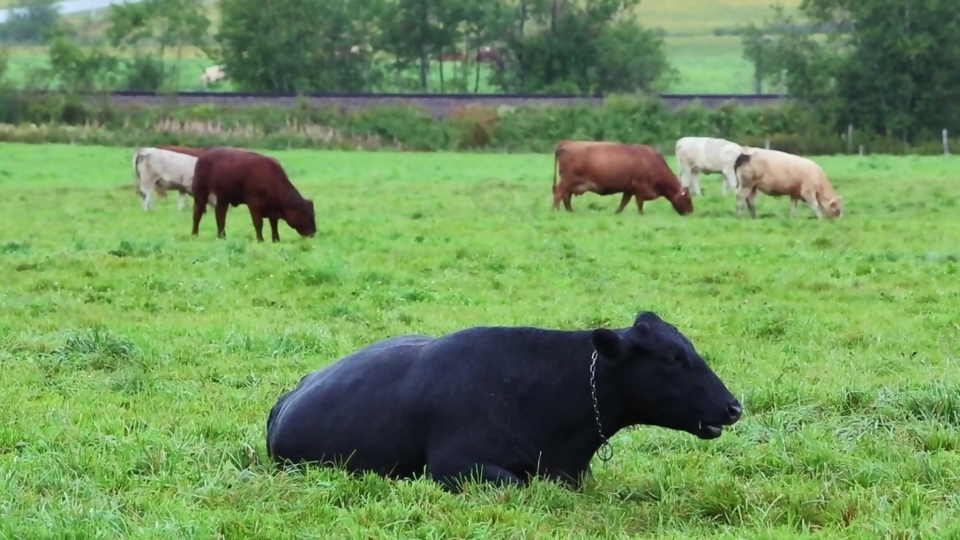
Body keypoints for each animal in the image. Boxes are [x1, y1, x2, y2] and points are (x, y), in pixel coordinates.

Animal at [552, 139, 692, 215]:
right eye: (688, 199)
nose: (691, 211)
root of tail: (567, 142)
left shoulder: (629, 188)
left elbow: (624, 202)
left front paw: (616, 213)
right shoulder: (639, 187)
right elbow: (639, 203)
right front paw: (641, 214)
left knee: (566, 196)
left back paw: (570, 211)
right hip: (567, 180)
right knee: (559, 194)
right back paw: (555, 211)